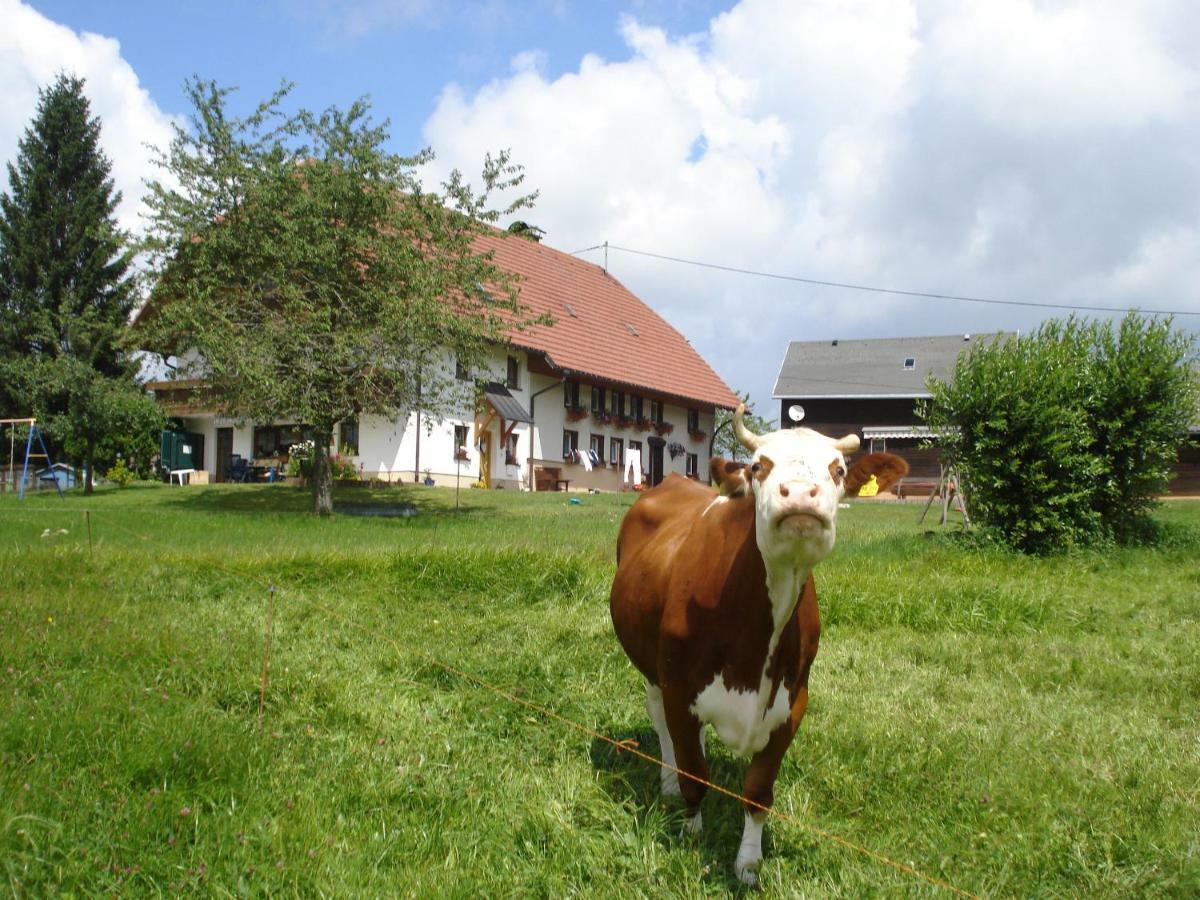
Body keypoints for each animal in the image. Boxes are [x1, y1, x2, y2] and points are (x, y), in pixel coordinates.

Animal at [609, 408, 907, 888]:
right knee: (662, 727)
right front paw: (691, 830)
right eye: (758, 466)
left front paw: (748, 863)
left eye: (838, 470)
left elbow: (758, 791)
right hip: (653, 669)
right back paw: (668, 783)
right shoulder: (678, 687)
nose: (801, 493)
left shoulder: (792, 702)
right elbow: (694, 774)